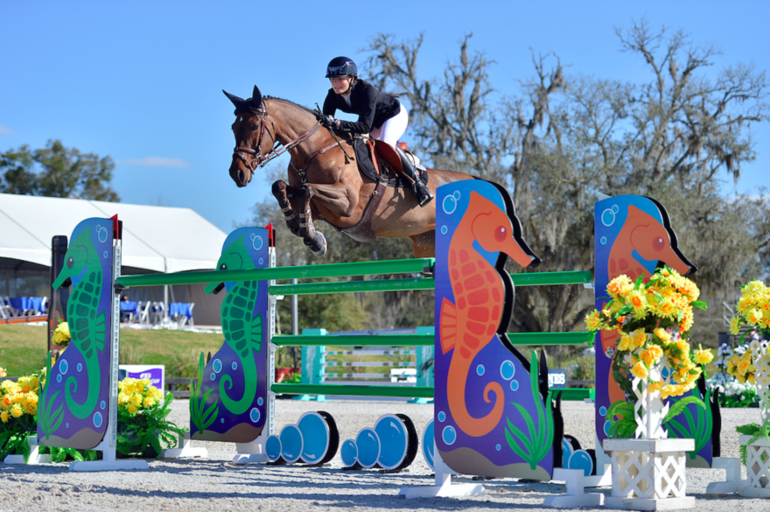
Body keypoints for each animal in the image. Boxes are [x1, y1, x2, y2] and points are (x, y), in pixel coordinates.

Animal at [224, 86, 474, 260]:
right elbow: (280, 187)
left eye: (254, 126)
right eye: (233, 128)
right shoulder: (319, 209)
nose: (237, 173)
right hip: (426, 242)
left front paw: (314, 241)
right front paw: (303, 229)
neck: (313, 150)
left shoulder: (348, 204)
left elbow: (306, 189)